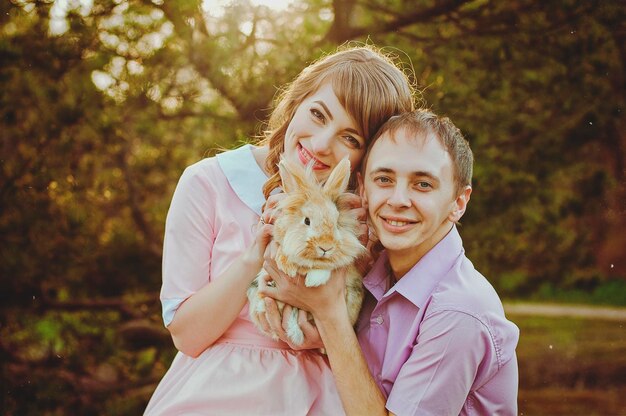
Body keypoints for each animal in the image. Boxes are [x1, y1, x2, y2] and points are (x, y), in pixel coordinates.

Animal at [246, 158, 366, 346]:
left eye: (337, 223)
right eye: (307, 221)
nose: (326, 246)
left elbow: (327, 266)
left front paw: (312, 281)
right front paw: (287, 266)